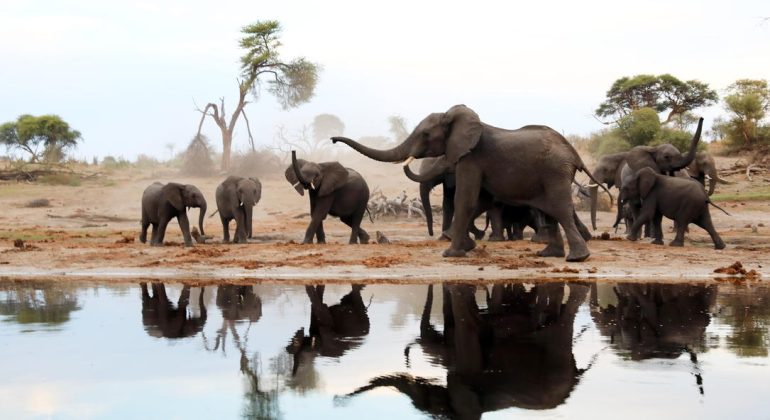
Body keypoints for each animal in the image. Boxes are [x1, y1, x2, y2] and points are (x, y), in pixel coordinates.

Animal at [333, 104, 610, 262]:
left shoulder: (470, 158)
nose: (334, 140)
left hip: (555, 173)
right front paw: (467, 246)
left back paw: (577, 258)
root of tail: (574, 153)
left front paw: (450, 254)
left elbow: (465, 199)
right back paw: (550, 254)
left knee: (560, 209)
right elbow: (478, 202)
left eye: (425, 134)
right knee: (551, 211)